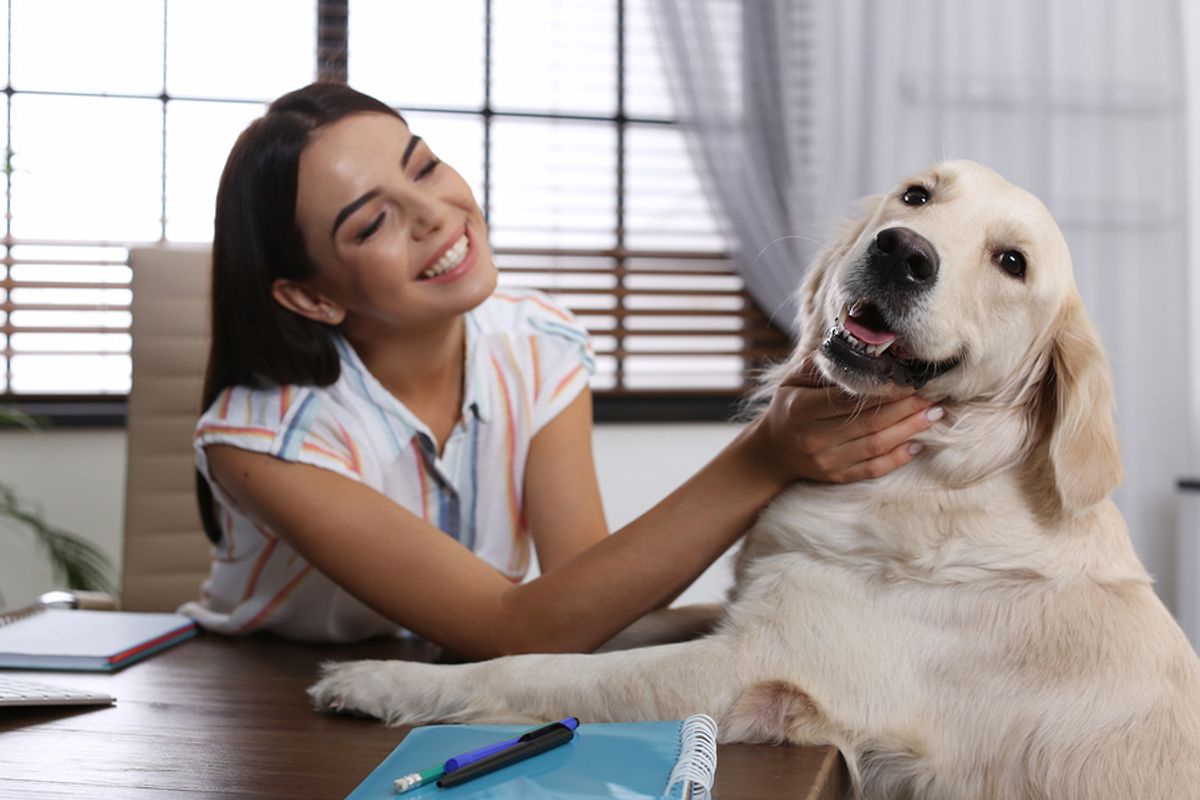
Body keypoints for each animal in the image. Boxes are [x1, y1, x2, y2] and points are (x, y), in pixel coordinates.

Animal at [309, 159, 1200, 796]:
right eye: (916, 195)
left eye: (1012, 261)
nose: (902, 251)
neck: (937, 473)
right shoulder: (747, 603)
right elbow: (611, 622)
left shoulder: (746, 670)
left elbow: (536, 668)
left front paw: (380, 678)